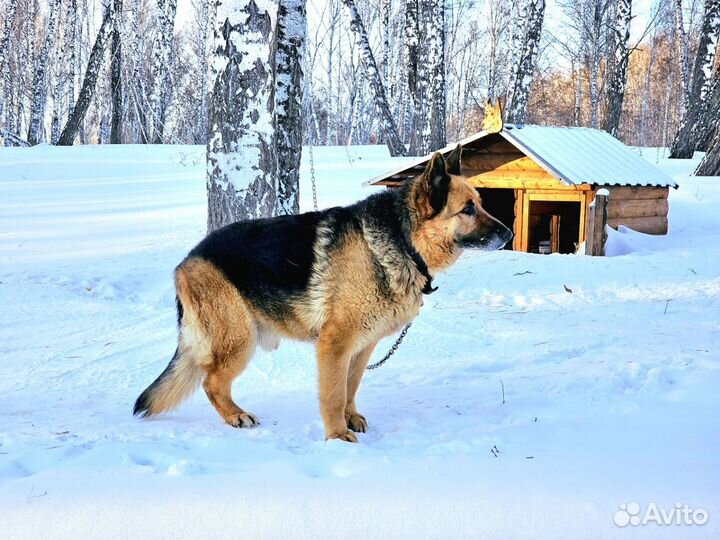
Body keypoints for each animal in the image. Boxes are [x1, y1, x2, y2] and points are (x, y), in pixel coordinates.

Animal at [135, 146, 512, 440]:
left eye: (481, 203)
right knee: (211, 381)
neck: (402, 241)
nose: (509, 234)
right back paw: (234, 415)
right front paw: (336, 436)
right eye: (467, 209)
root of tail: (186, 260)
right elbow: (332, 394)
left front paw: (350, 417)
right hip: (239, 339)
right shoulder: (335, 344)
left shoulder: (362, 346)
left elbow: (350, 386)